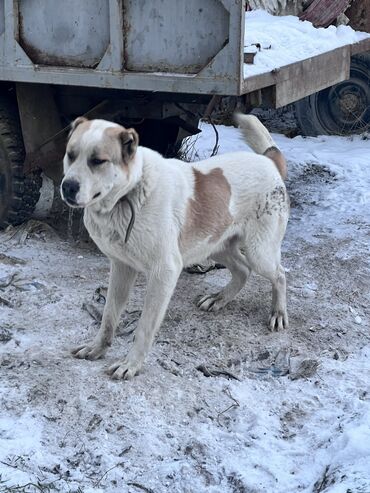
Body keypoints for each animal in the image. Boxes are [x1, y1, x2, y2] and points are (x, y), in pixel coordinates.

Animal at [60, 113, 290, 378]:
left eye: (98, 161)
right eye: (70, 154)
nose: (68, 186)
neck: (130, 194)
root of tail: (269, 161)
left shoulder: (164, 272)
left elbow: (144, 327)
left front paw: (131, 364)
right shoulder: (121, 267)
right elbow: (109, 316)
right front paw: (97, 348)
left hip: (259, 252)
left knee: (279, 274)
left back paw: (278, 313)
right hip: (214, 245)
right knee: (243, 270)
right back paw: (219, 299)